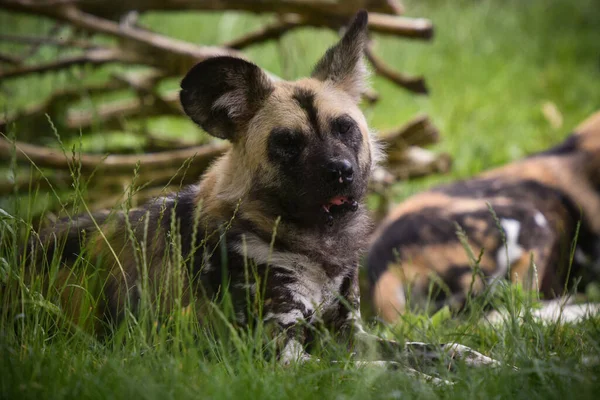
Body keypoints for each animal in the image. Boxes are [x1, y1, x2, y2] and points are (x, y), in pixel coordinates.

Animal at [23, 9, 500, 376]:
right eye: (287, 142)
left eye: (345, 128)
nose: (341, 172)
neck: (318, 247)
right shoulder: (279, 352)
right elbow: (391, 373)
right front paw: (438, 385)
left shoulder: (349, 334)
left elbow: (440, 350)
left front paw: (493, 368)